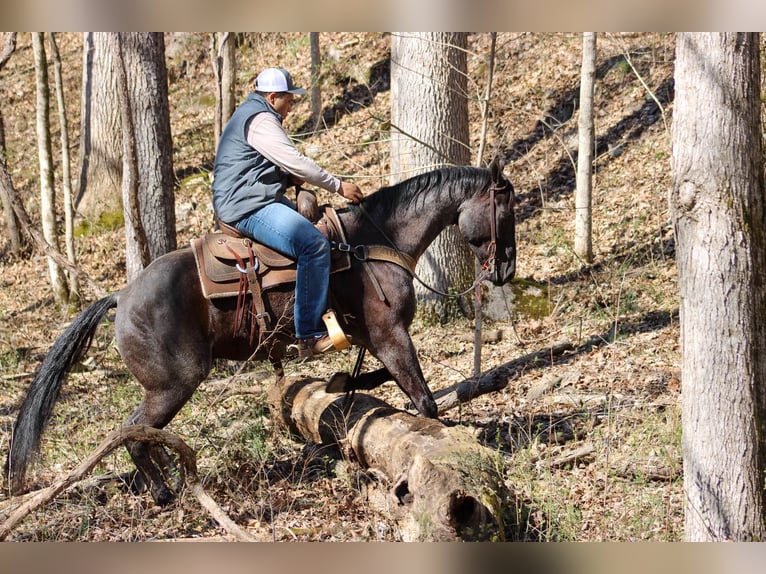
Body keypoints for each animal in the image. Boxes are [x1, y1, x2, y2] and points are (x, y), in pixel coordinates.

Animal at [6, 160, 520, 506]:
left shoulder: (372, 340)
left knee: (137, 434)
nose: (507, 269)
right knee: (131, 433)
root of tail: (121, 296)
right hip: (174, 384)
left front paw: (341, 382)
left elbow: (362, 381)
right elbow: (424, 400)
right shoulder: (391, 335)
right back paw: (162, 493)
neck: (374, 243)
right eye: (505, 207)